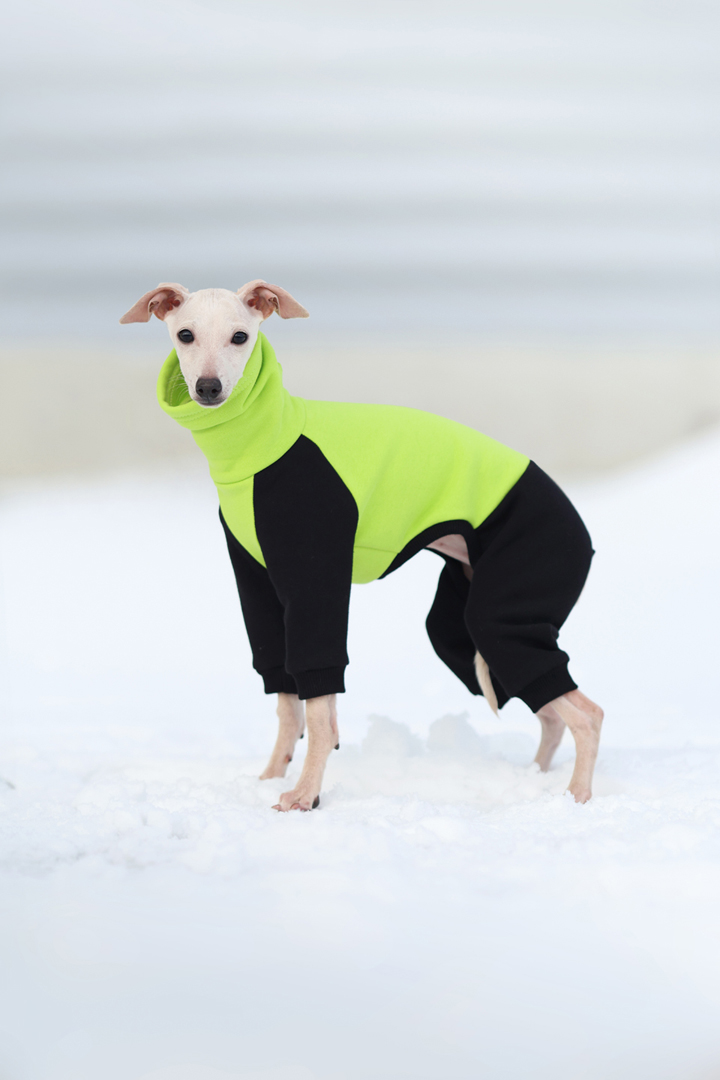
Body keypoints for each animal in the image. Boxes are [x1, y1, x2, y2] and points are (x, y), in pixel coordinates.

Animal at [121, 280, 603, 811]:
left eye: (240, 336)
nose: (209, 388)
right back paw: (537, 781)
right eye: (184, 334)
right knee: (551, 712)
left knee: (587, 714)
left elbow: (319, 707)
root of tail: (577, 524)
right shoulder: (258, 584)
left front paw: (304, 794)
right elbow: (287, 701)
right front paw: (270, 778)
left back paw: (576, 798)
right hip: (462, 623)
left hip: (504, 611)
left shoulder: (314, 582)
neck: (262, 446)